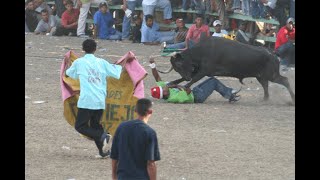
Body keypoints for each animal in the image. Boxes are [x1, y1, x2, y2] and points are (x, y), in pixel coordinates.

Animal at [160, 36, 296, 103]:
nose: (186, 76)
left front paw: (184, 88)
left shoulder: (204, 71)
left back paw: (292, 100)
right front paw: (171, 84)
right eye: (175, 67)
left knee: (285, 80)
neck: (202, 51)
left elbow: (191, 81)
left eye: (179, 64)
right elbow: (180, 80)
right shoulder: (196, 71)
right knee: (266, 85)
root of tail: (273, 54)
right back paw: (265, 99)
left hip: (272, 75)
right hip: (261, 76)